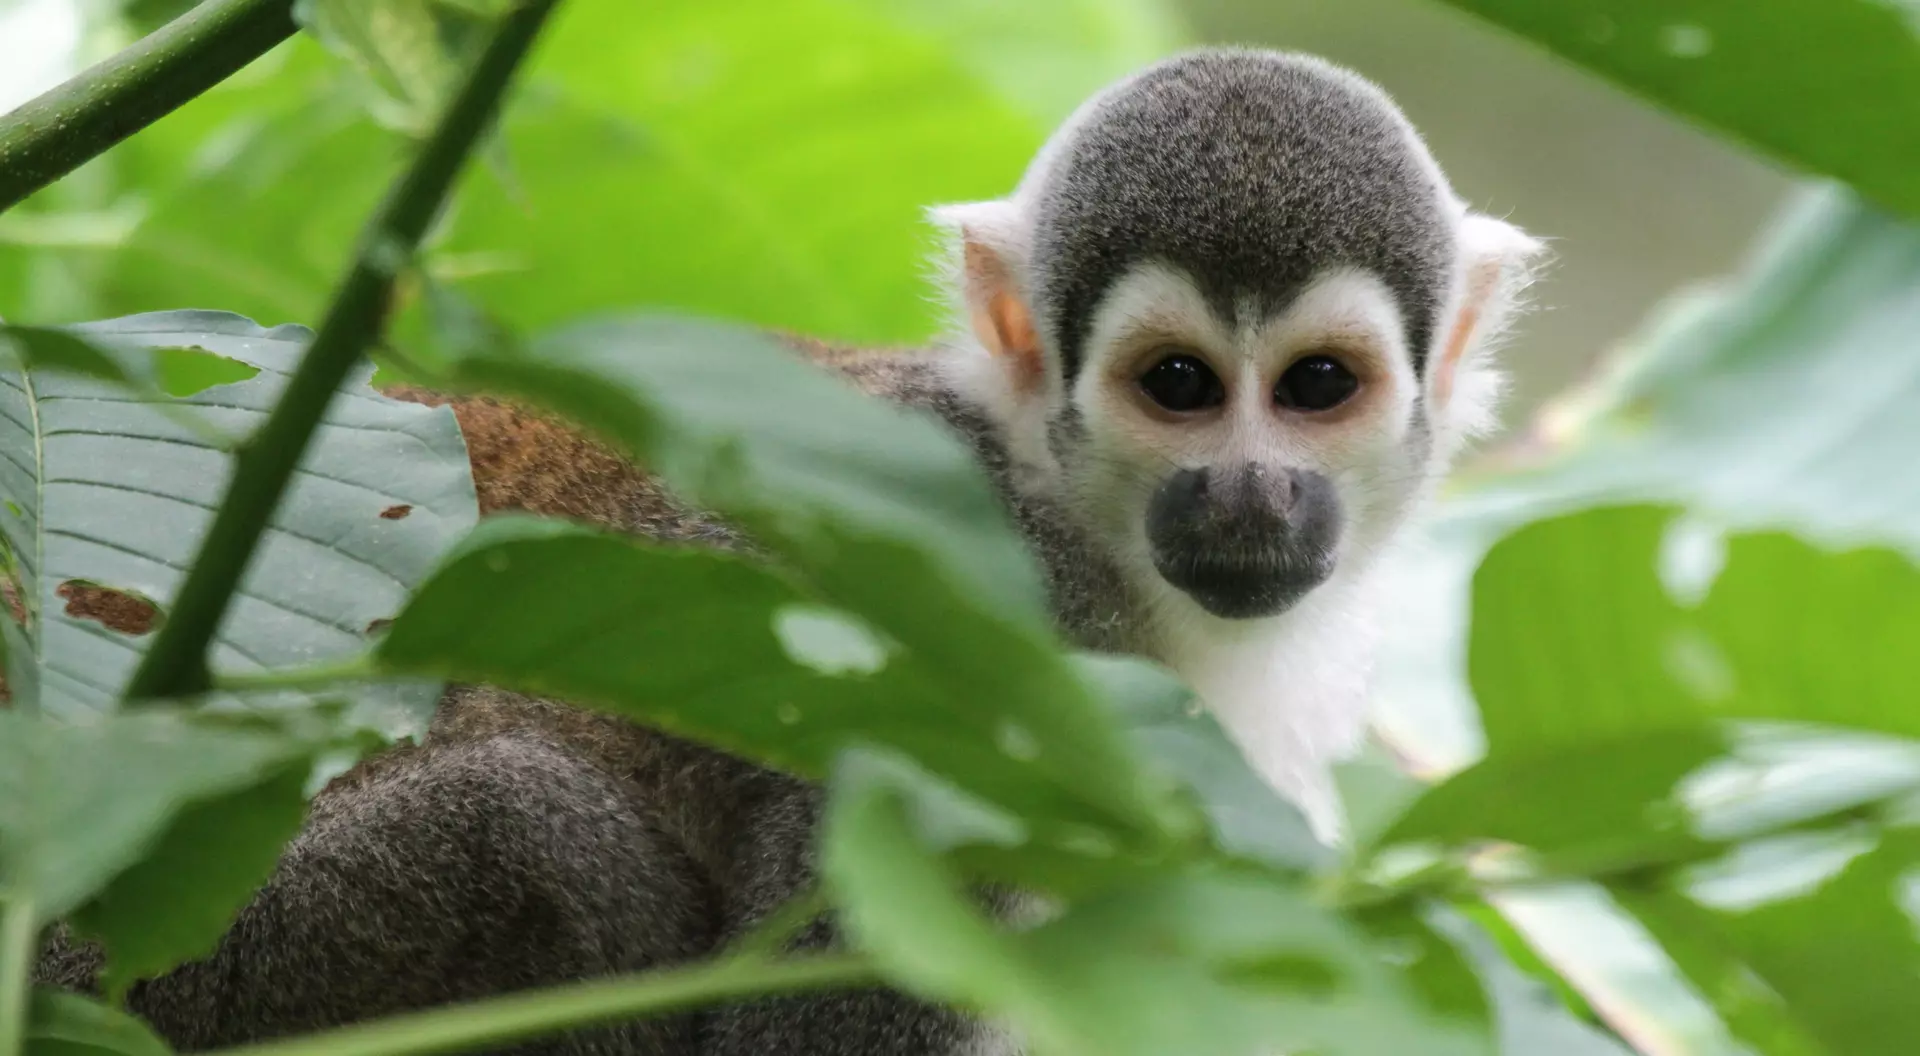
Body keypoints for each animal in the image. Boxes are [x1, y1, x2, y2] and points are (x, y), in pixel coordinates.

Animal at [36, 46, 1544, 1056]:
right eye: (1177, 386)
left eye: (1314, 388)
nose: (1249, 498)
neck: (1084, 536)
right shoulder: (978, 673)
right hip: (159, 955)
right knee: (531, 838)